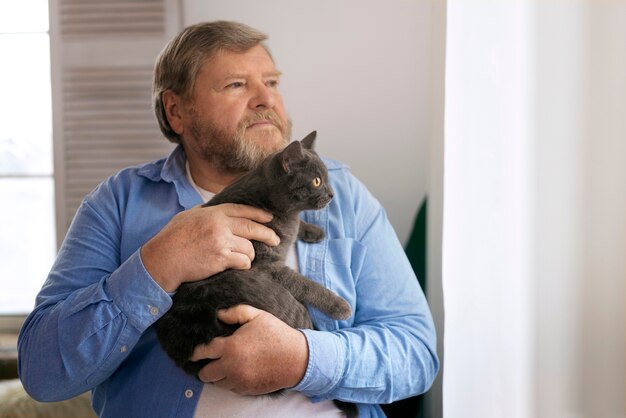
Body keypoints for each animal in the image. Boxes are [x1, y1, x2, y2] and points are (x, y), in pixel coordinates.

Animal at [155, 131, 352, 376]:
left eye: (326, 178)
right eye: (317, 181)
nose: (332, 195)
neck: (282, 211)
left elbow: (296, 228)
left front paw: (314, 231)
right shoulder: (266, 264)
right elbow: (305, 285)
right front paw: (340, 306)